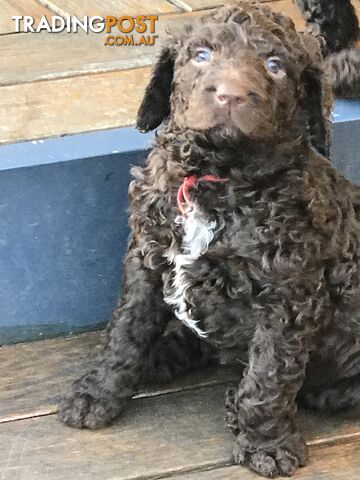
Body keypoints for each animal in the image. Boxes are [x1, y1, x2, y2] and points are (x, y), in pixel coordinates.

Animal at [59, 2, 360, 476]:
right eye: (201, 56)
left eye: (275, 66)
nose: (230, 95)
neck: (215, 177)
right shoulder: (146, 256)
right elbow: (125, 331)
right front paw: (97, 393)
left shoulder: (287, 296)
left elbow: (267, 376)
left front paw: (267, 444)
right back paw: (163, 354)